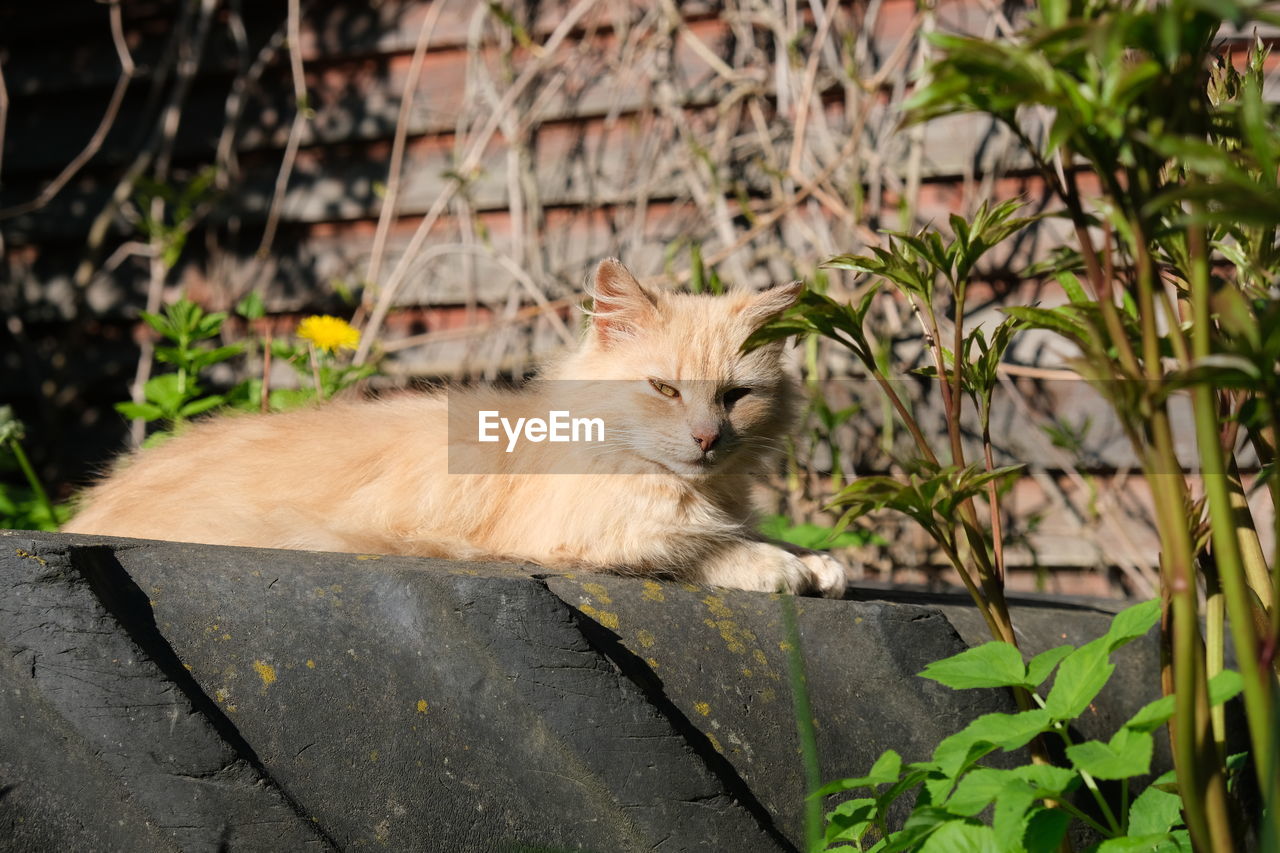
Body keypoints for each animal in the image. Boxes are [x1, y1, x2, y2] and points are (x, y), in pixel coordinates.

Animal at [67, 258, 849, 596]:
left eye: (735, 396)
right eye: (663, 388)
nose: (707, 439)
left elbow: (747, 535)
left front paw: (817, 562)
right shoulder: (594, 536)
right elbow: (702, 550)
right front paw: (782, 568)